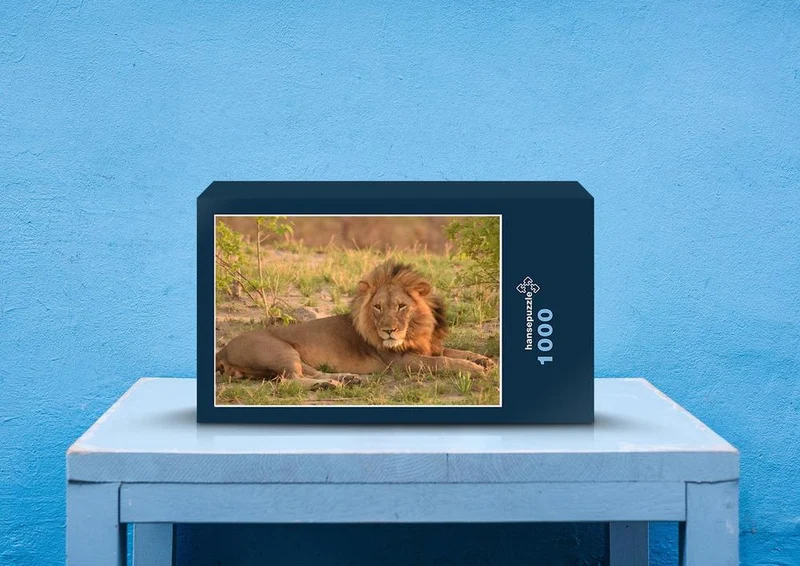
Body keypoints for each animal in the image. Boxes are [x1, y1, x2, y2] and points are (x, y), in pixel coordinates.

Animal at [216, 261, 496, 389]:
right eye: (378, 307)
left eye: (401, 306)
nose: (388, 331)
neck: (418, 328)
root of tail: (224, 349)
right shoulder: (400, 361)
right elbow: (443, 362)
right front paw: (473, 369)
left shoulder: (429, 347)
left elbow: (455, 352)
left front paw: (484, 360)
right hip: (279, 351)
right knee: (289, 380)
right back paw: (328, 385)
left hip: (292, 354)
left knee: (307, 372)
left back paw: (347, 379)